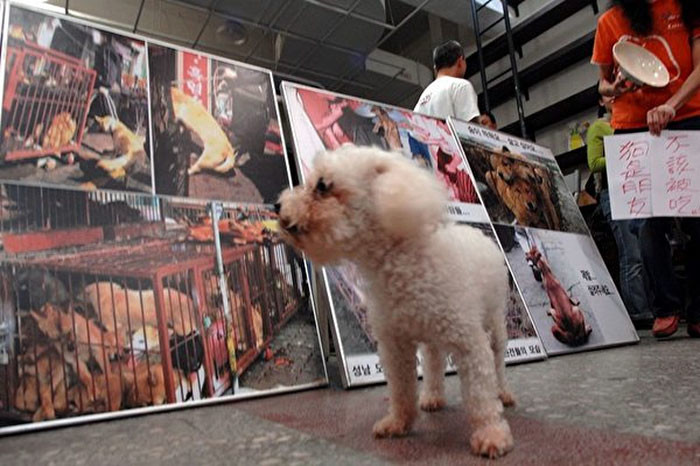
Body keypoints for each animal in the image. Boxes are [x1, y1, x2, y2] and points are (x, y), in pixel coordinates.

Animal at [278, 147, 516, 458]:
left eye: (322, 186)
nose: (277, 205)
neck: (399, 260)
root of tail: (478, 233)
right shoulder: (395, 344)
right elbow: (402, 388)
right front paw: (398, 423)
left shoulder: (469, 343)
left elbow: (480, 393)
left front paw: (491, 434)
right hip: (432, 334)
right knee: (433, 361)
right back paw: (432, 396)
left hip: (494, 320)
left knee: (498, 361)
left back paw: (504, 392)